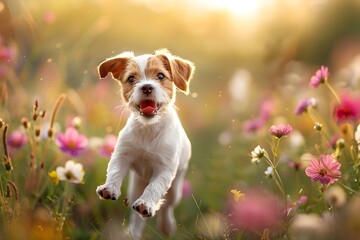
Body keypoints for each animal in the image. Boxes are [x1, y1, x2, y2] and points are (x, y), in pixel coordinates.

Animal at [96, 47, 194, 237]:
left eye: (161, 76)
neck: (149, 128)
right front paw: (109, 188)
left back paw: (166, 225)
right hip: (136, 186)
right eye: (131, 79)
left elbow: (154, 188)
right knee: (137, 218)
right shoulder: (122, 155)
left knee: (167, 205)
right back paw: (133, 233)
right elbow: (115, 171)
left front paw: (146, 204)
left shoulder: (165, 170)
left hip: (175, 189)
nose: (147, 87)